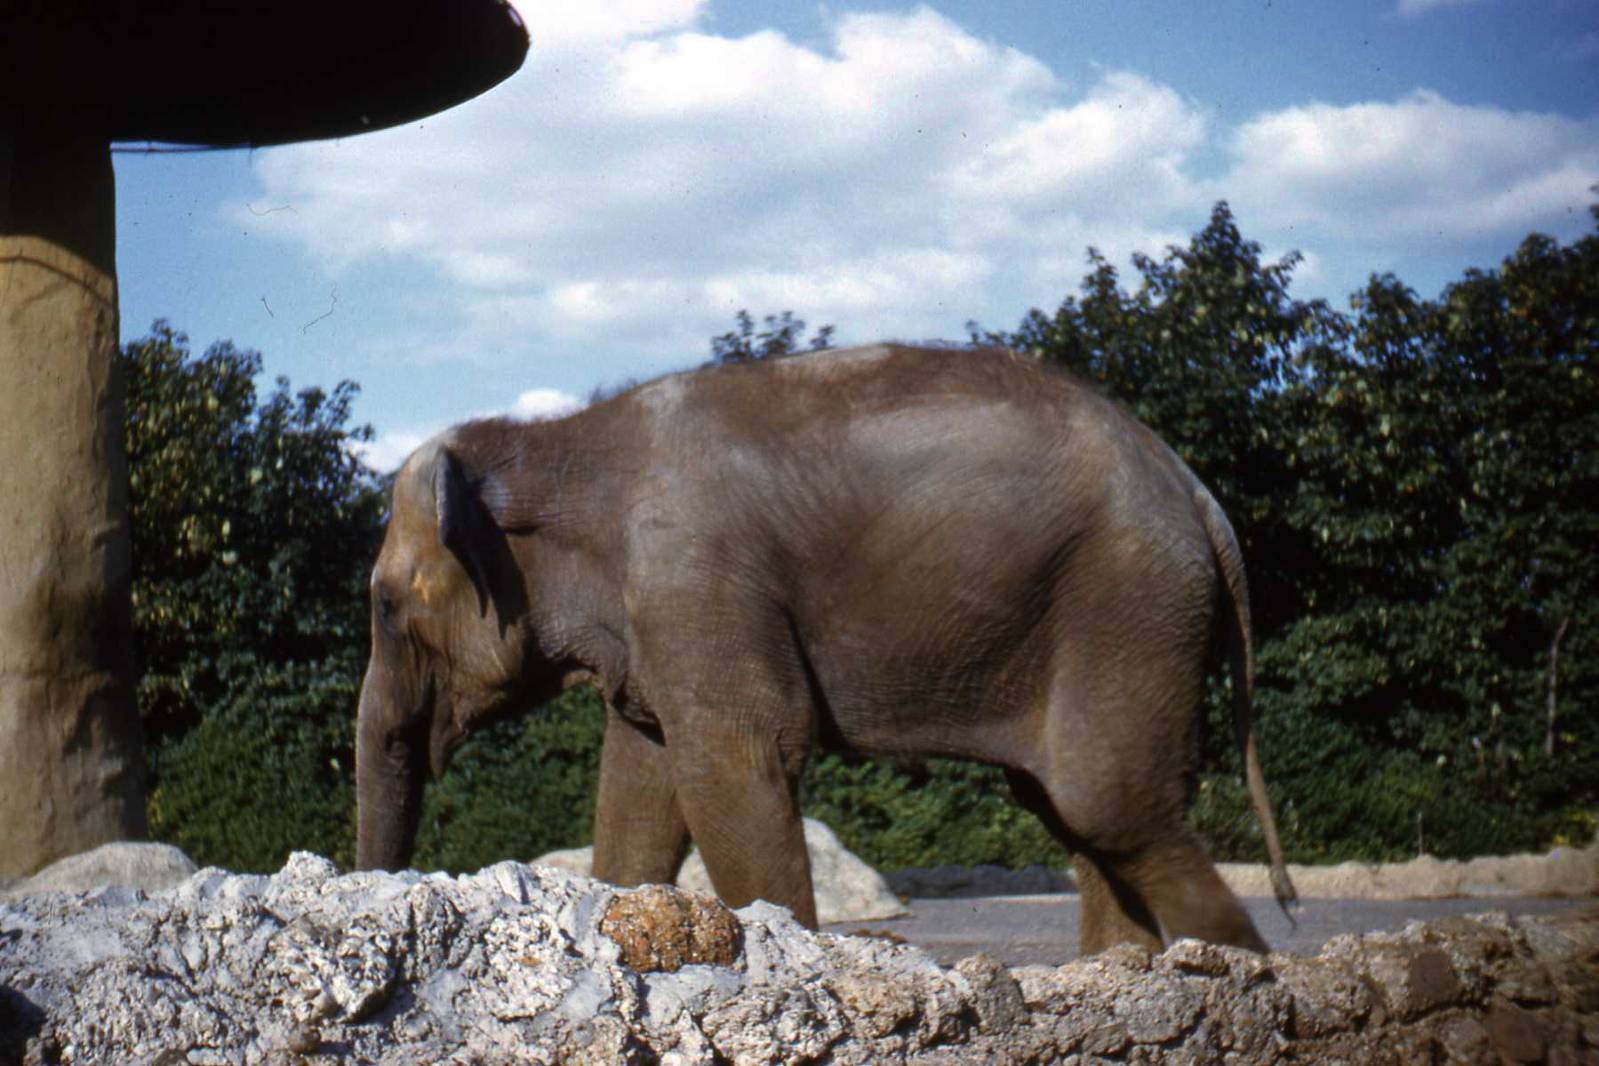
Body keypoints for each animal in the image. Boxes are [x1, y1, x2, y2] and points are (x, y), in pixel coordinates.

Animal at [355, 342, 1296, 955]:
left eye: (384, 604)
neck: (552, 443)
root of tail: (1196, 492)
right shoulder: (657, 618)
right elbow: (640, 789)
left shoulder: (698, 580)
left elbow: (738, 766)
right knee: (1072, 811)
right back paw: (1117, 974)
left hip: (1127, 602)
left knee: (1105, 802)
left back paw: (1231, 974)